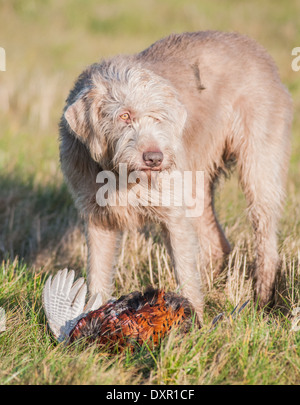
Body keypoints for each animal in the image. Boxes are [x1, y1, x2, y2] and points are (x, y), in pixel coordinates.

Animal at [59, 30, 292, 322]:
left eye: (160, 118)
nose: (154, 158)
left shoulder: (173, 215)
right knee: (216, 244)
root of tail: (256, 48)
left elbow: (185, 270)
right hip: (197, 186)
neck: (120, 174)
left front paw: (193, 322)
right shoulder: (97, 219)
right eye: (124, 116)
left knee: (264, 230)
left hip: (258, 165)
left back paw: (262, 298)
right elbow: (97, 274)